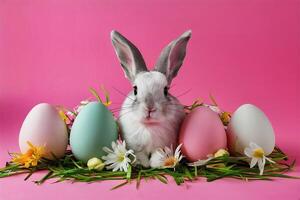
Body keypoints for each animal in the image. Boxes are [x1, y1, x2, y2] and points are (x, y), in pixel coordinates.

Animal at [110, 30, 192, 167]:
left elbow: (158, 153)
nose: (150, 108)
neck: (149, 126)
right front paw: (141, 164)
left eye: (166, 90)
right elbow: (138, 154)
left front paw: (156, 164)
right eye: (135, 89)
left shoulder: (165, 145)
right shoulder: (134, 146)